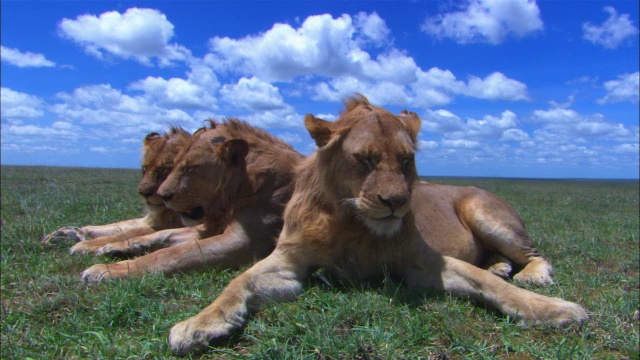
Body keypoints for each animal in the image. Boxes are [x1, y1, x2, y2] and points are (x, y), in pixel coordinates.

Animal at [41, 125, 188, 246]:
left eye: (166, 170)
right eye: (145, 168)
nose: (142, 193)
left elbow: (133, 231)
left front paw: (89, 244)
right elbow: (119, 225)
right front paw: (65, 233)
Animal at [78, 119, 304, 282]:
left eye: (190, 168)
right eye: (174, 165)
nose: (162, 195)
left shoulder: (243, 242)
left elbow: (170, 254)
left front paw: (106, 270)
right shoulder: (208, 228)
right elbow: (163, 234)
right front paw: (114, 246)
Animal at [166, 95, 592, 354]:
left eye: (406, 160)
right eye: (365, 160)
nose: (396, 202)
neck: (353, 225)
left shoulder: (424, 262)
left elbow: (486, 284)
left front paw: (554, 310)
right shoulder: (288, 261)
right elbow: (237, 282)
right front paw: (199, 324)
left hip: (485, 212)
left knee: (535, 253)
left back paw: (529, 274)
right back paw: (501, 266)